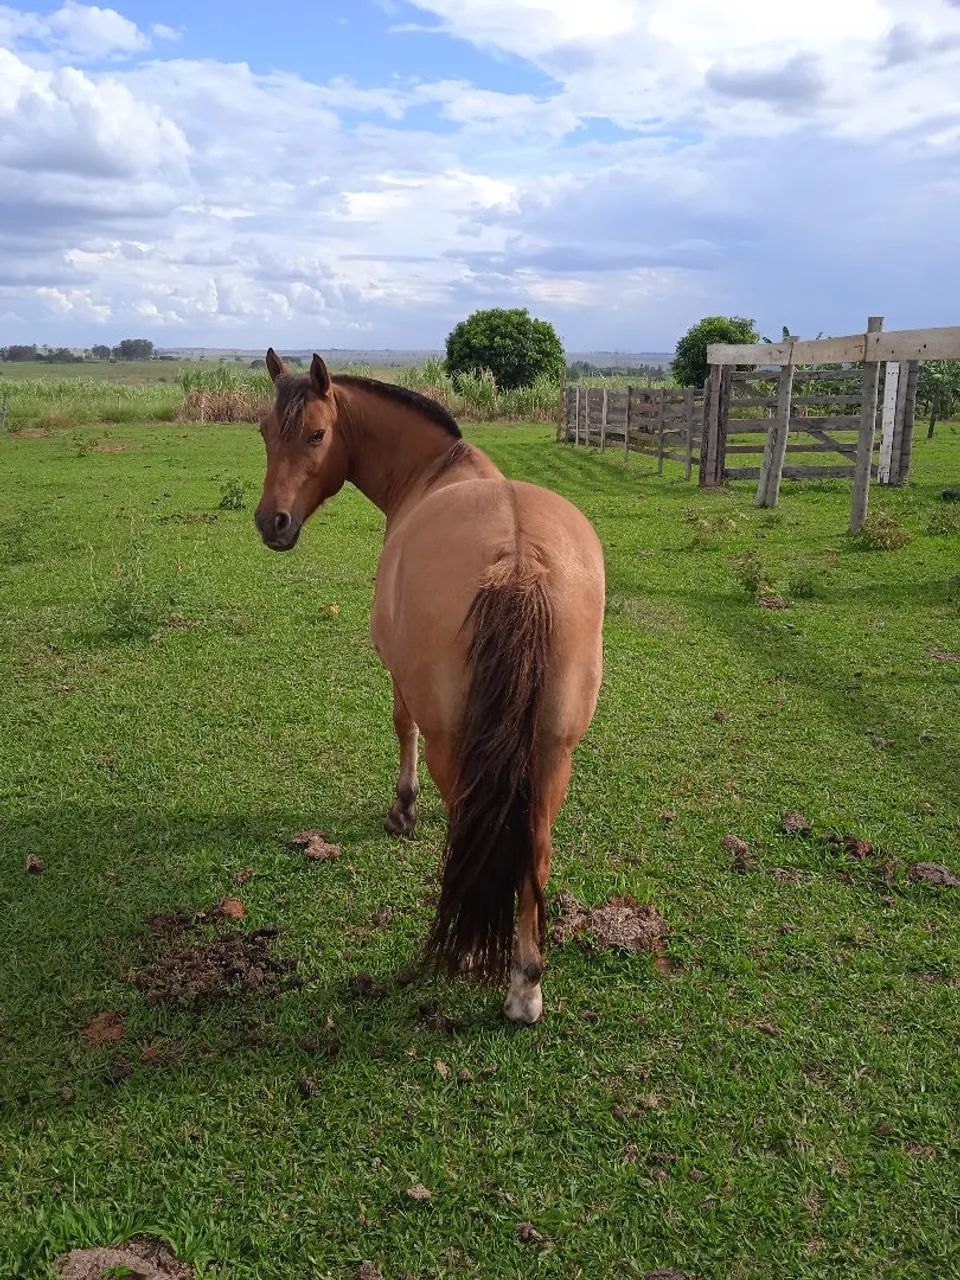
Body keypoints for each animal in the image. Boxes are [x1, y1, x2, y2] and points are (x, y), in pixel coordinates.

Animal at [254, 350, 604, 1023]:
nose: (271, 523)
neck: (431, 471)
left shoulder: (400, 680)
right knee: (536, 849)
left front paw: (403, 809)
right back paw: (526, 982)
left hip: (458, 741)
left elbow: (402, 728)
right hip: (556, 750)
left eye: (316, 434)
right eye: (263, 431)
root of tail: (518, 557)